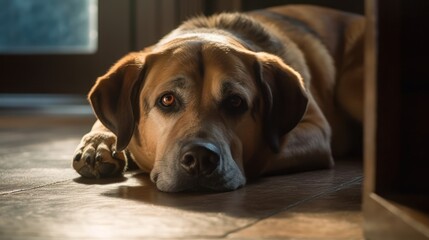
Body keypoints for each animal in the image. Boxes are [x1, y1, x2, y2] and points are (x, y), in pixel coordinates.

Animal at [72, 4, 362, 192]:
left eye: (236, 102)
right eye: (167, 100)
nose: (200, 159)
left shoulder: (316, 130)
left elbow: (269, 149)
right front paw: (98, 143)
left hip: (351, 87)